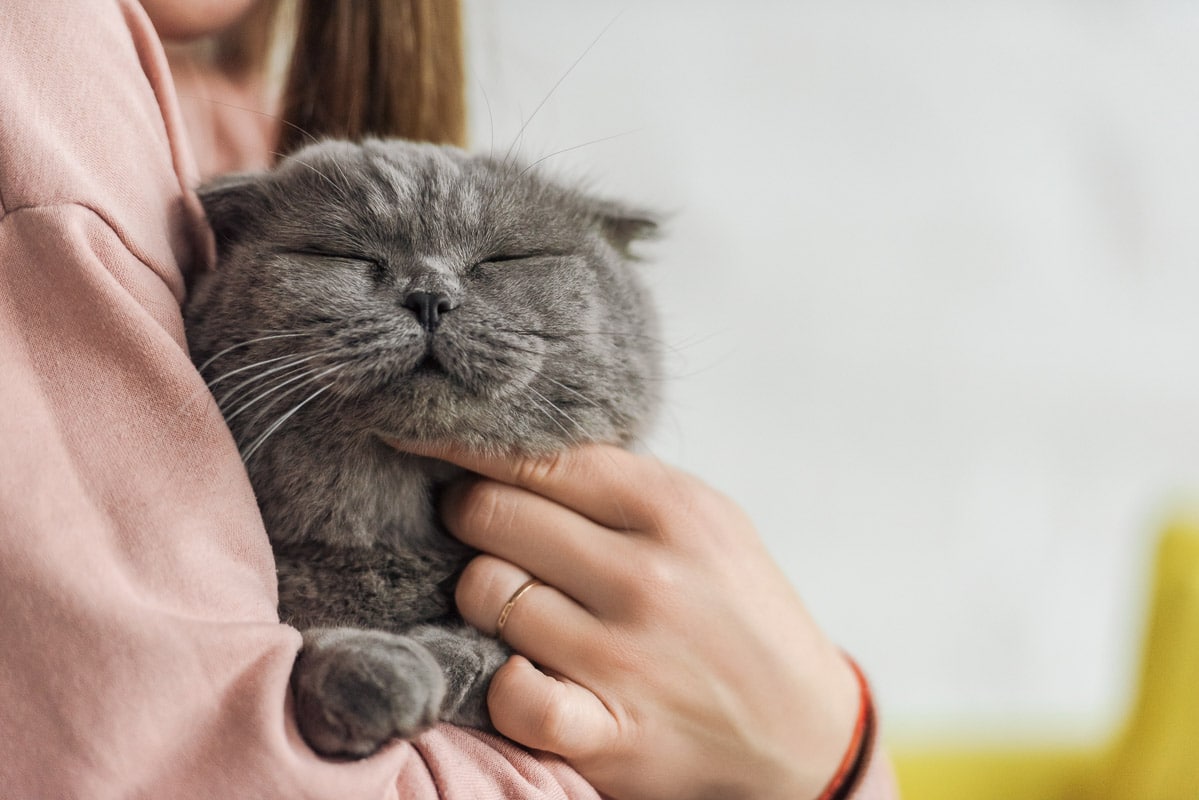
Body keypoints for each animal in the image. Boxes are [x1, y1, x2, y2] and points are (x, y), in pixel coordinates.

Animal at [182, 140, 661, 762]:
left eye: (508, 258)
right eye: (339, 253)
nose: (430, 297)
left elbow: (492, 651)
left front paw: (432, 660)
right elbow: (298, 637)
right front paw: (374, 671)